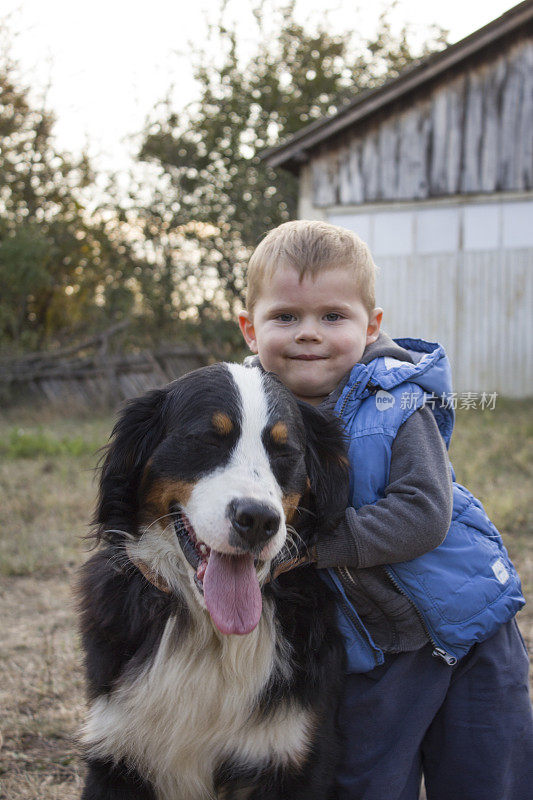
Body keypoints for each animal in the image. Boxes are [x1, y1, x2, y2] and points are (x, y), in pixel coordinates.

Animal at [77, 364, 348, 800]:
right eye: (208, 439)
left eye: (285, 452)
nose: (258, 520)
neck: (210, 633)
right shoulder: (116, 752)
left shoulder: (294, 755)